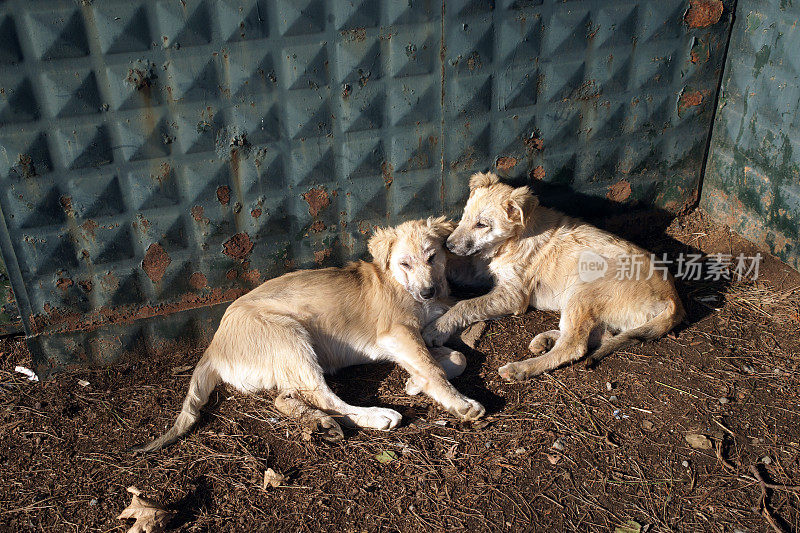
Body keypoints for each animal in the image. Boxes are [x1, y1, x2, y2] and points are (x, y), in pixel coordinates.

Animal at [132, 217, 484, 454]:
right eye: (405, 263)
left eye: (432, 257)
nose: (427, 292)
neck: (395, 281)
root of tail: (214, 348)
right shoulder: (396, 333)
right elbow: (433, 367)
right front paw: (459, 402)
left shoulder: (411, 337)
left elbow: (457, 357)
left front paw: (413, 382)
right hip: (290, 337)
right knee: (325, 396)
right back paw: (377, 416)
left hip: (286, 363)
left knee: (286, 399)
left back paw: (321, 423)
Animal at [422, 172, 684, 380]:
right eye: (465, 216)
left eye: (482, 225)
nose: (448, 244)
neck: (513, 240)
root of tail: (673, 299)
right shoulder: (483, 272)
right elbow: (457, 269)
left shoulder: (513, 296)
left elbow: (466, 305)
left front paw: (437, 328)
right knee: (597, 335)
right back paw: (546, 340)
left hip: (584, 291)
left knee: (574, 346)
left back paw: (520, 369)